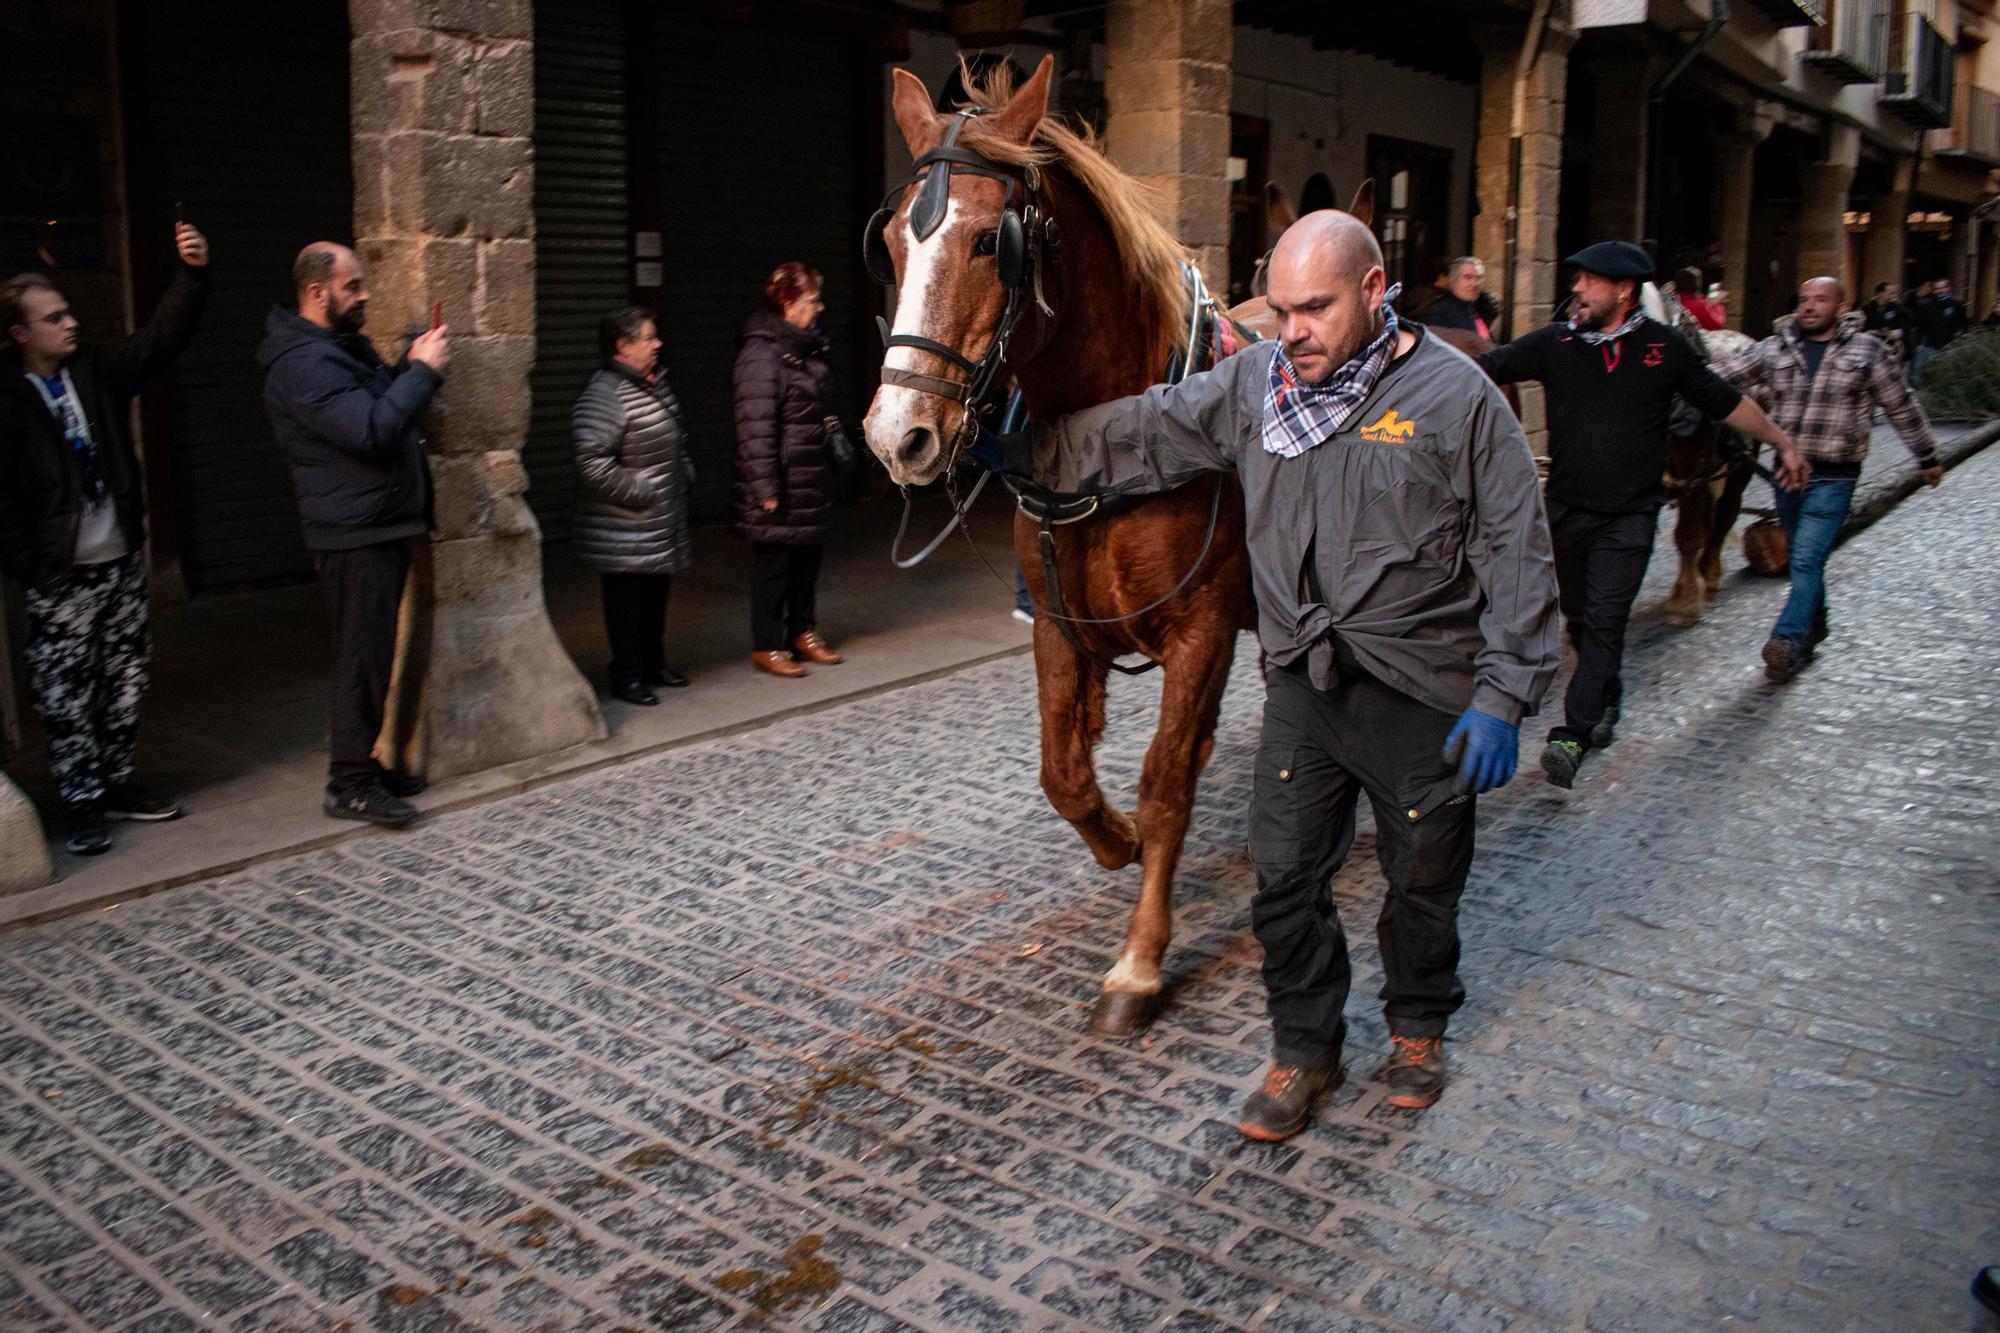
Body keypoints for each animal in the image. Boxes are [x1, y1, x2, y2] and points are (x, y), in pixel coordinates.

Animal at [864, 57, 1264, 1032]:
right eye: (892, 241)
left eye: (988, 243)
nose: (898, 436)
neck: (1120, 434)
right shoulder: (1056, 624)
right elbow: (1065, 774)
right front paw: (1119, 842)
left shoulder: (1202, 626)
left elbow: (1163, 781)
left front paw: (1140, 961)